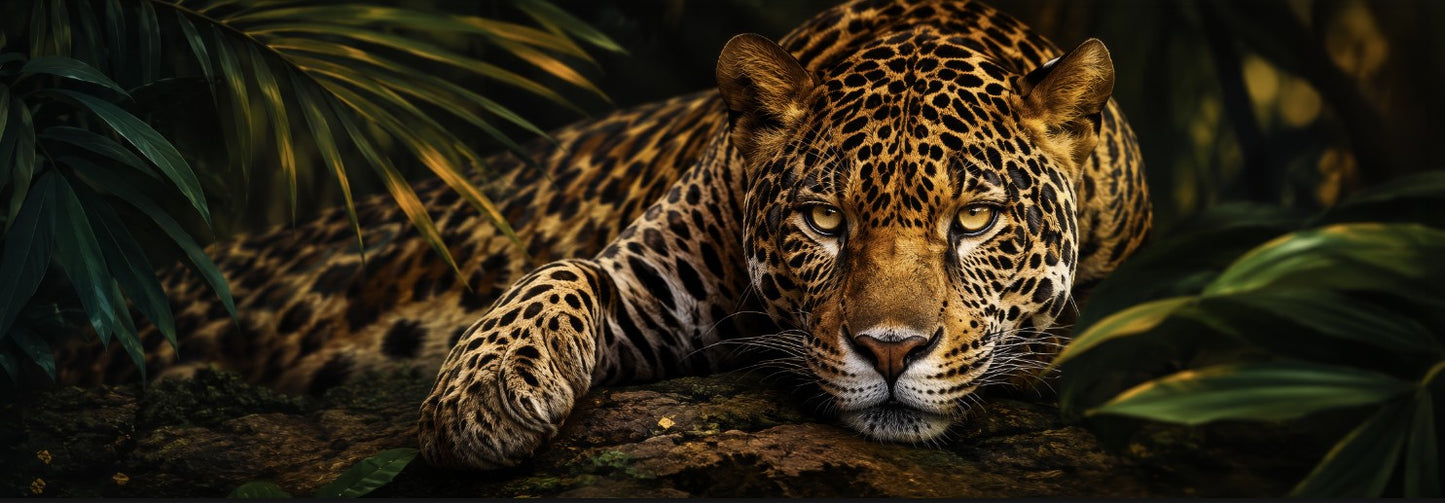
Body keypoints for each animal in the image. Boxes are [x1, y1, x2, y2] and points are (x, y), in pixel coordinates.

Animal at [57, 0, 1150, 471]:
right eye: (822, 221)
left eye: (974, 219)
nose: (889, 350)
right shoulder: (651, 272)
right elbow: (558, 277)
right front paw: (482, 394)